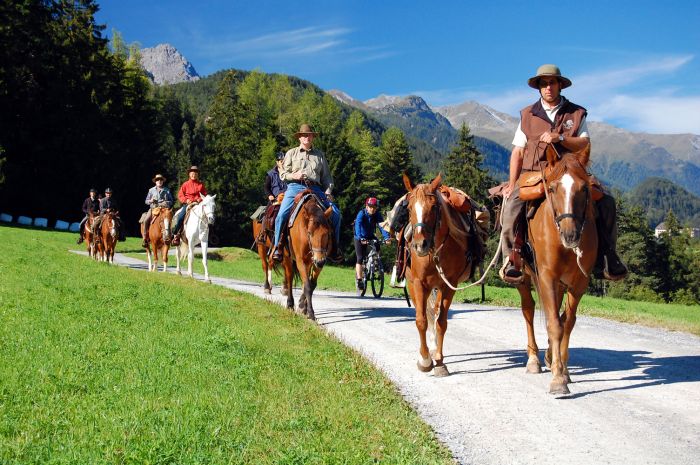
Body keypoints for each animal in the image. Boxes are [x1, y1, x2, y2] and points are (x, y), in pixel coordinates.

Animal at [286, 188, 338, 320]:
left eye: (328, 233)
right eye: (309, 233)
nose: (319, 261)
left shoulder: (317, 262)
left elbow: (311, 284)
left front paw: (303, 306)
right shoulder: (300, 261)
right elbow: (308, 286)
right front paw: (310, 312)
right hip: (287, 257)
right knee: (289, 278)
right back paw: (290, 303)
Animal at [402, 172, 478, 376]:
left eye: (434, 207)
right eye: (409, 208)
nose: (420, 244)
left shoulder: (449, 285)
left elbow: (441, 322)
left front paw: (439, 361)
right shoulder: (419, 284)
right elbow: (421, 321)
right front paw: (425, 360)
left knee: (435, 314)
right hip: (414, 286)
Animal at [516, 143, 596, 394]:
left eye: (584, 188)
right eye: (551, 188)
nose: (570, 235)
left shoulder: (579, 283)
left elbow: (566, 323)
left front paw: (562, 368)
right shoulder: (547, 277)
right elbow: (554, 324)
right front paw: (558, 379)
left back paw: (550, 356)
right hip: (525, 277)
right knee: (528, 310)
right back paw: (533, 359)